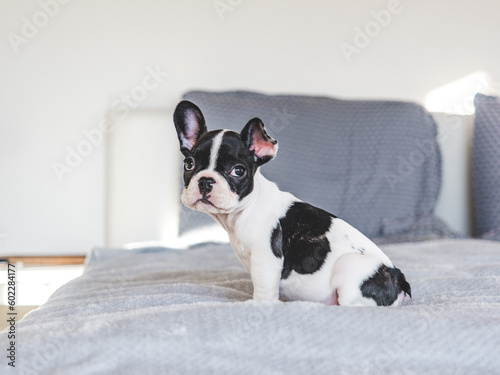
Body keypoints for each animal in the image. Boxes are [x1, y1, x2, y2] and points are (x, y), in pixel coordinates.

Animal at [172, 100, 410, 308]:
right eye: (189, 164)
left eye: (238, 171)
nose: (205, 181)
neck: (246, 209)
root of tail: (398, 279)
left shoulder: (265, 258)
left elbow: (263, 289)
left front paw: (257, 304)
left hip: (348, 267)